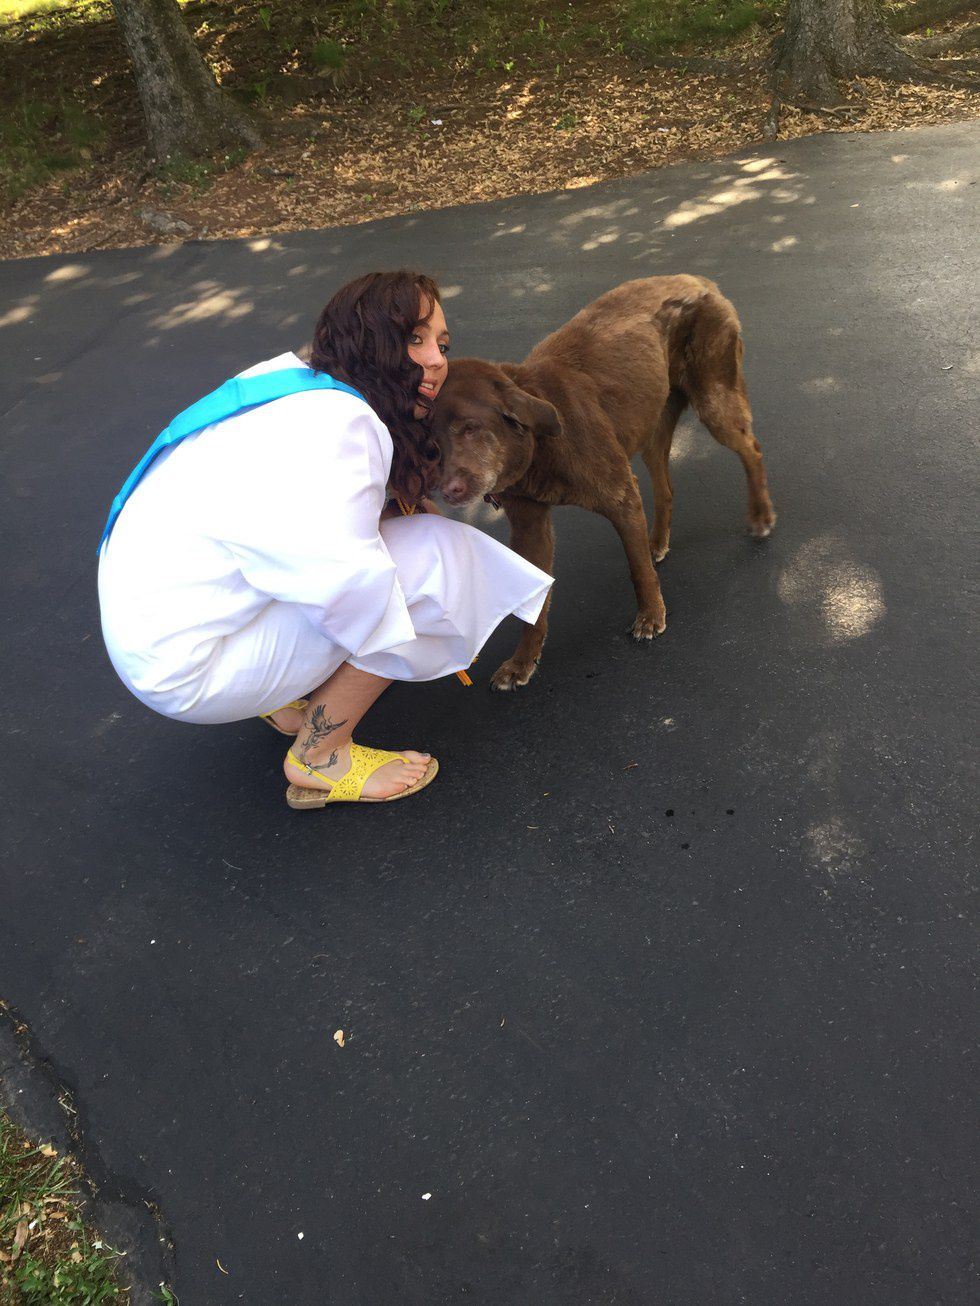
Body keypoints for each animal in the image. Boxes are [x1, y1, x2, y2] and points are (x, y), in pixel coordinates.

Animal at [430, 275, 776, 690]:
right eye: (431, 443)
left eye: (470, 427)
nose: (449, 491)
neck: (543, 447)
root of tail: (700, 280)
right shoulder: (531, 527)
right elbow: (535, 609)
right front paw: (522, 662)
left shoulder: (620, 496)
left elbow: (637, 570)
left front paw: (650, 617)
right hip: (651, 427)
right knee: (666, 488)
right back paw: (657, 541)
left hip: (714, 402)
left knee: (752, 449)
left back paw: (760, 516)